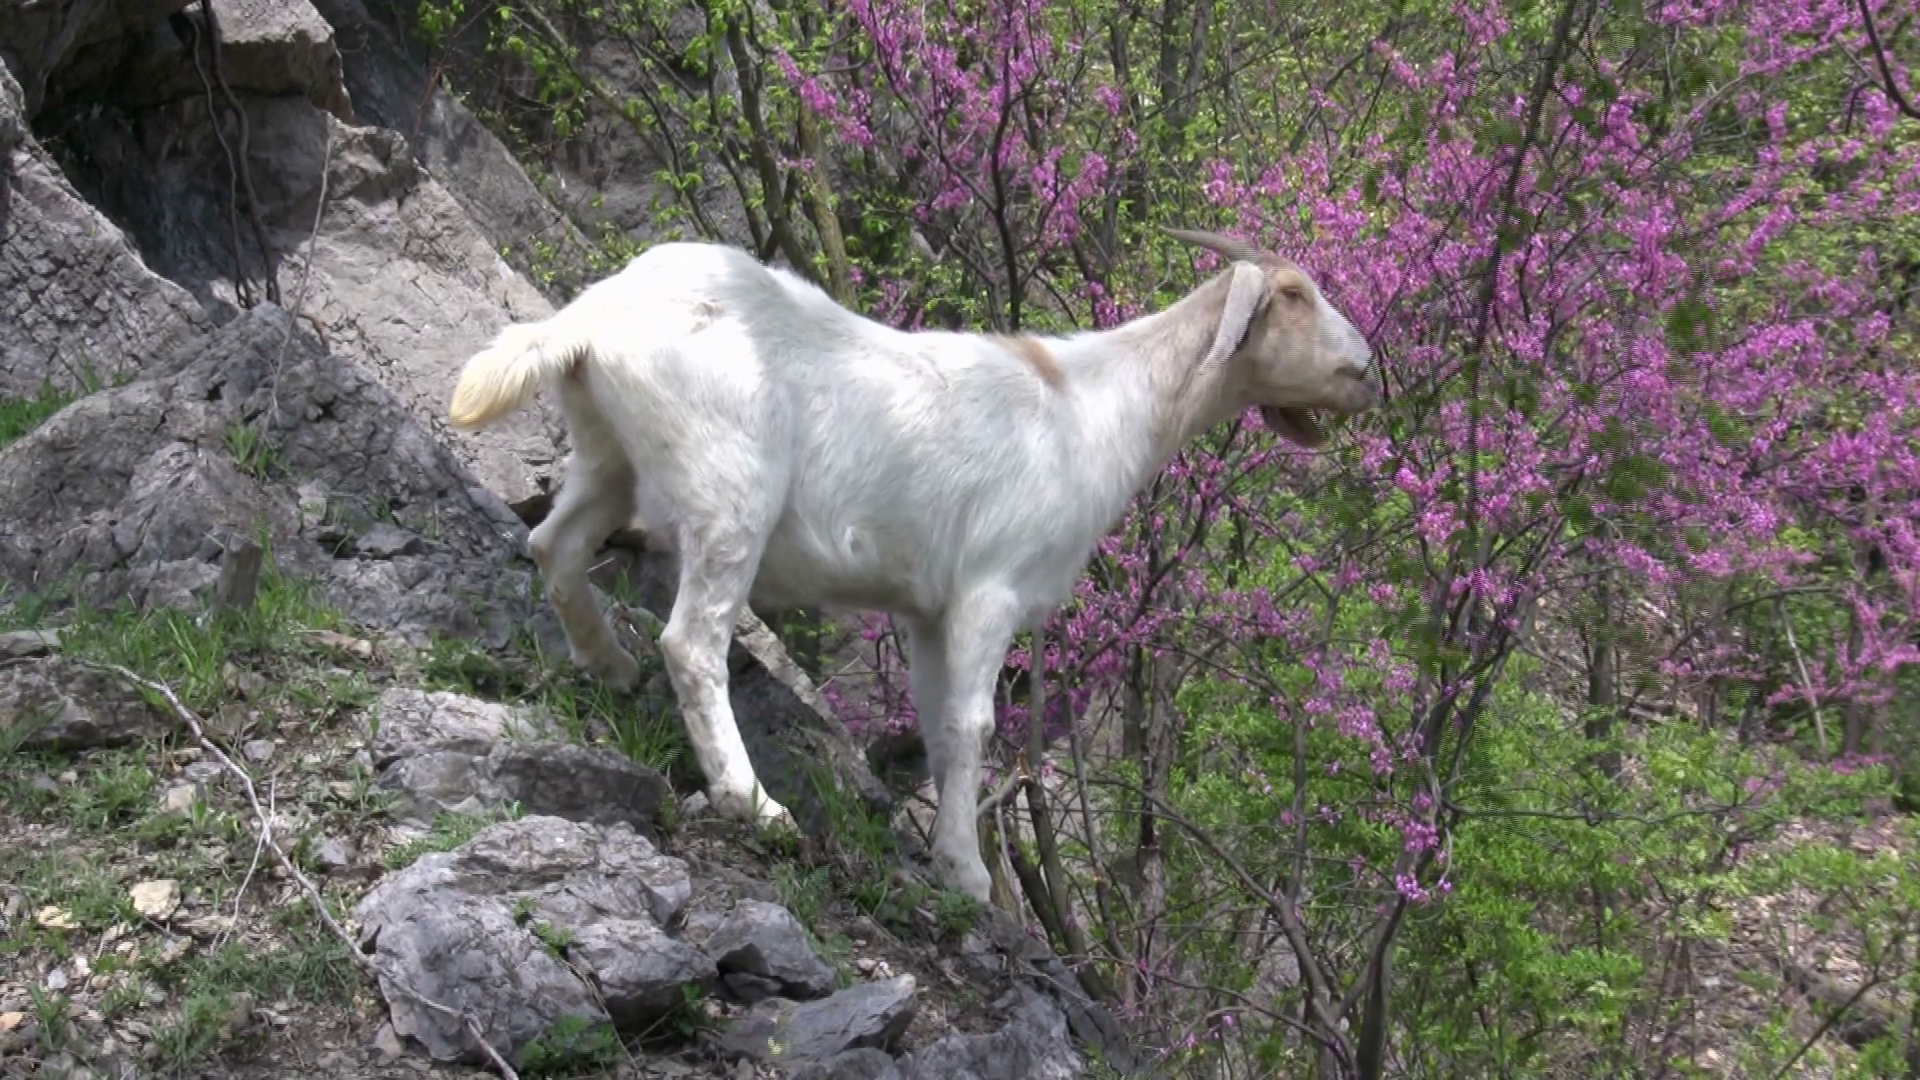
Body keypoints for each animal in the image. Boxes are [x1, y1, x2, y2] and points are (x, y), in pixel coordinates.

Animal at [447, 230, 1381, 903]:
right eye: (1295, 298)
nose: (1367, 371)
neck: (1089, 408)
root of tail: (587, 320)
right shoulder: (987, 592)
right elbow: (974, 729)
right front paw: (967, 876)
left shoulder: (928, 611)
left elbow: (937, 728)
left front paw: (949, 856)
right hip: (729, 491)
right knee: (692, 640)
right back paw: (753, 802)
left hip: (610, 455)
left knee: (556, 545)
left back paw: (610, 669)